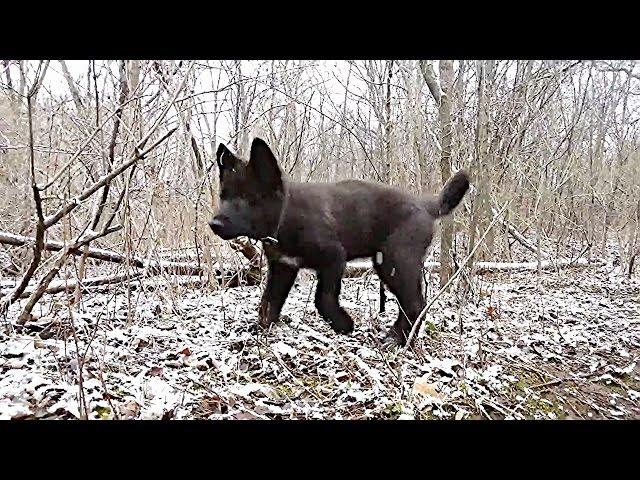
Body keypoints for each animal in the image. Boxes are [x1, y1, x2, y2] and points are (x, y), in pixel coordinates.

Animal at [210, 137, 470, 344]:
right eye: (223, 196)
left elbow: (322, 298)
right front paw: (259, 330)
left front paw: (344, 324)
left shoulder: (334, 257)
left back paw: (396, 339)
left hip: (396, 261)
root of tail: (426, 205)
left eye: (248, 198)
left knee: (416, 304)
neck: (285, 215)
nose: (214, 224)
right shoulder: (283, 267)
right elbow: (269, 302)